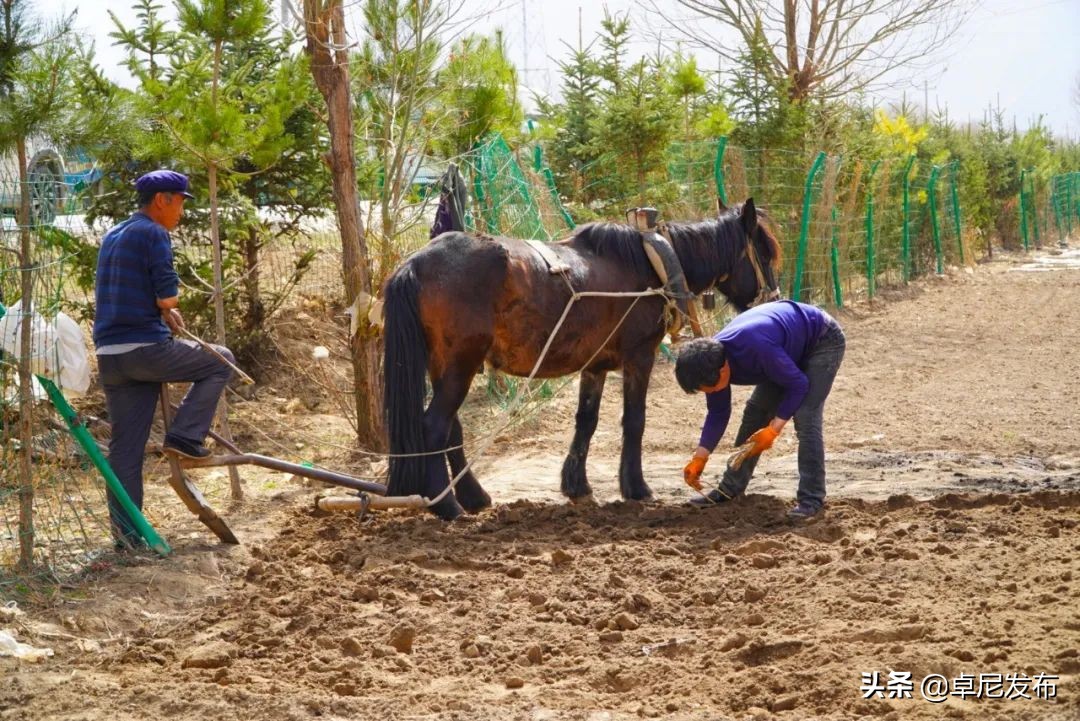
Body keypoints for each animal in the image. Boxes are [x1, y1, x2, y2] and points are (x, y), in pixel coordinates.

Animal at [384, 199, 781, 520]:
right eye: (764, 253)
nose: (775, 299)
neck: (652, 263)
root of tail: (416, 263)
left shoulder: (595, 366)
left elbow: (586, 422)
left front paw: (576, 486)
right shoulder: (640, 357)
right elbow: (634, 421)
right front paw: (636, 487)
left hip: (446, 366)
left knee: (452, 429)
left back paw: (472, 497)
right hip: (460, 365)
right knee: (435, 427)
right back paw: (448, 507)